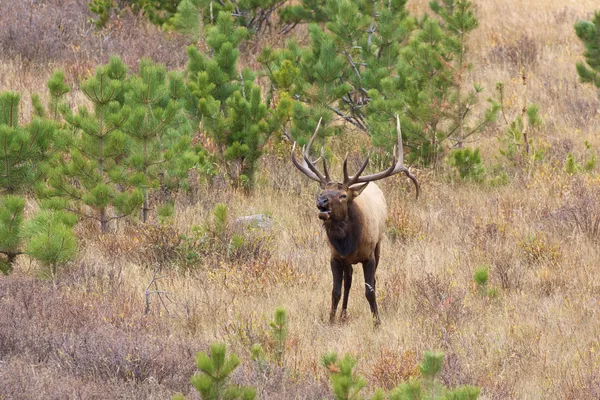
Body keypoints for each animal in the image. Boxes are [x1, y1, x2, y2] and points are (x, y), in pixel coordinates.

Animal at [290, 115, 418, 324]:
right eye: (322, 191)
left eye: (343, 195)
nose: (321, 201)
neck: (348, 243)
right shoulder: (335, 256)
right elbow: (335, 291)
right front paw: (331, 320)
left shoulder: (369, 255)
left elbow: (370, 290)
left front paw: (377, 322)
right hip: (347, 261)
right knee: (348, 280)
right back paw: (342, 314)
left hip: (379, 245)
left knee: (370, 280)